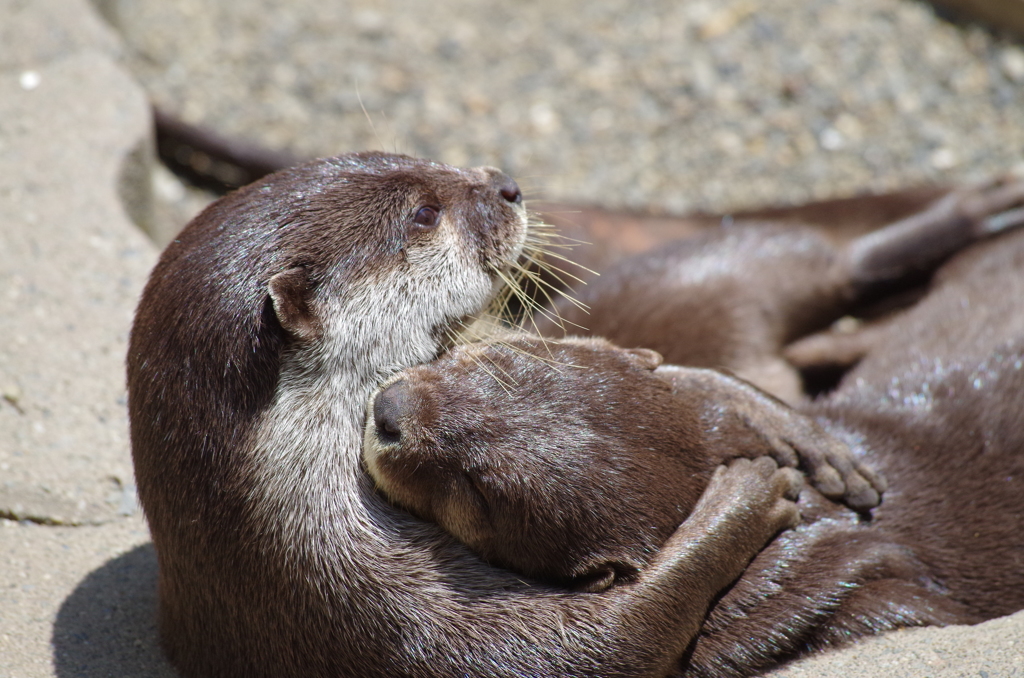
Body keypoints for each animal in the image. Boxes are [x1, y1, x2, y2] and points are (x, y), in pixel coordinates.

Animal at [128, 153, 884, 678]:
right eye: (423, 215)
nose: (506, 184)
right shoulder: (333, 595)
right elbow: (595, 645)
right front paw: (746, 498)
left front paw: (797, 432)